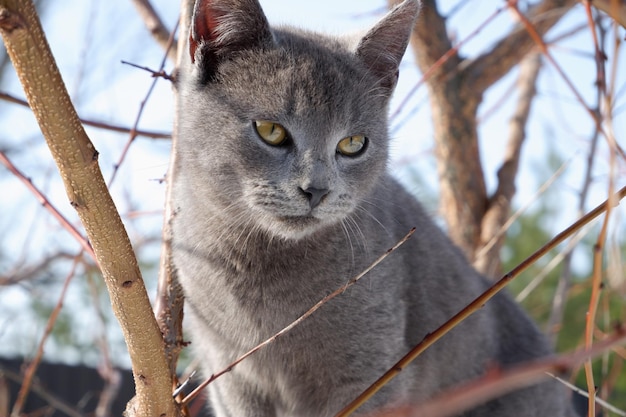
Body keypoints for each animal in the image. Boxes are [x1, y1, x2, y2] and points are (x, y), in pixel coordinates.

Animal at [169, 0, 572, 416]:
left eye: (353, 144)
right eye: (270, 131)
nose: (317, 189)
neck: (255, 267)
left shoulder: (369, 375)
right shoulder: (231, 379)